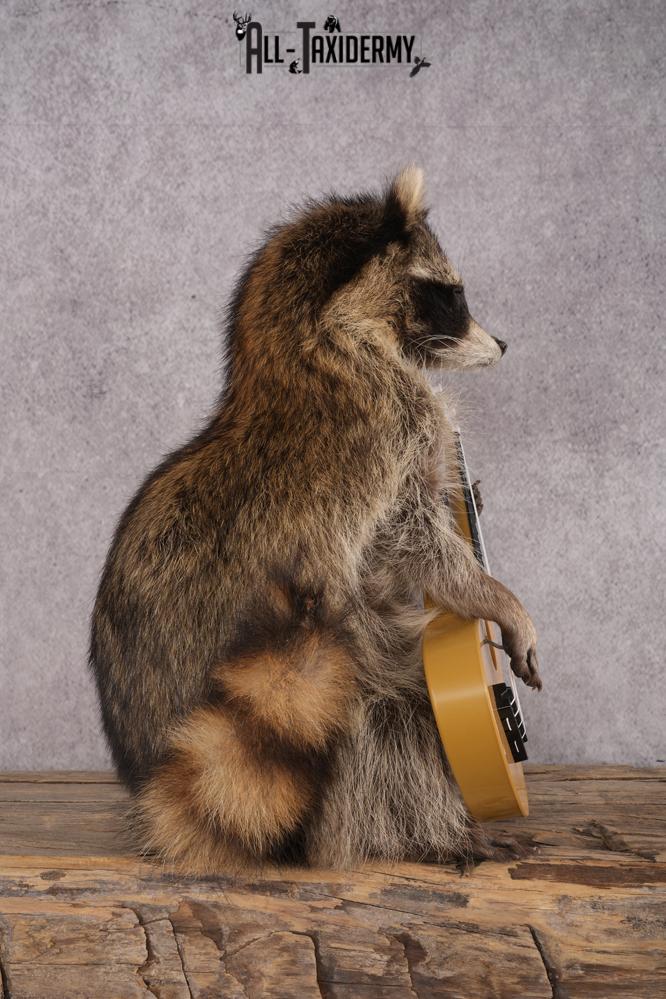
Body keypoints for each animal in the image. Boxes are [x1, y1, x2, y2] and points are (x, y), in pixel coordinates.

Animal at [90, 166, 541, 872]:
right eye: (450, 294)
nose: (502, 344)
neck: (313, 347)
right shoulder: (389, 431)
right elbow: (416, 546)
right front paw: (493, 595)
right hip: (324, 694)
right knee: (390, 732)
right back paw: (433, 833)